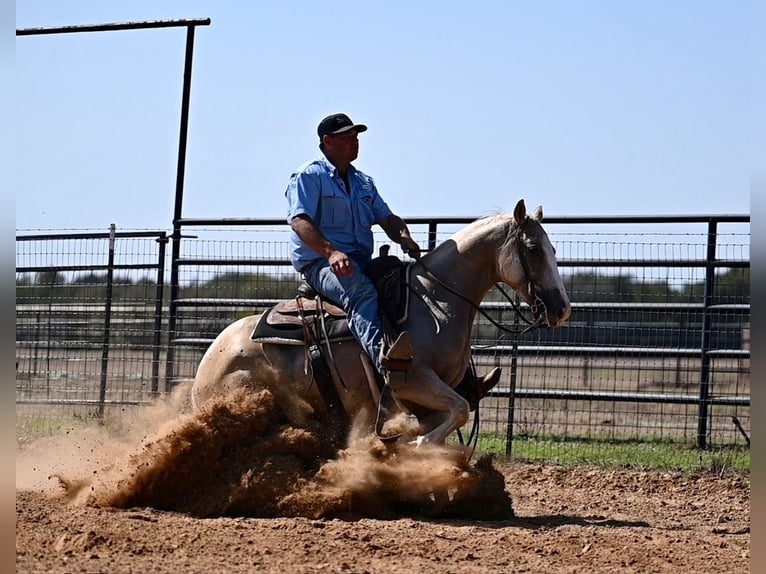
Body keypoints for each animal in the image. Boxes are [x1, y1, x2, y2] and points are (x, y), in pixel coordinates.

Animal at [192, 201, 568, 450]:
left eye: (552, 247)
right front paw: (414, 445)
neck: (435, 303)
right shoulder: (412, 382)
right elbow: (459, 411)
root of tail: (207, 364)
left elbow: (454, 415)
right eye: (533, 249)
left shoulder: (430, 398)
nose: (562, 309)